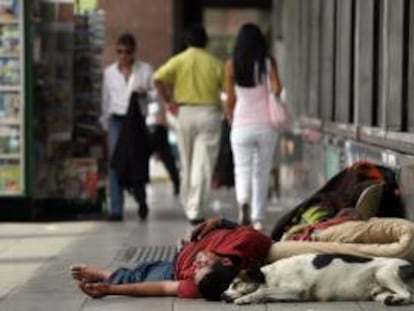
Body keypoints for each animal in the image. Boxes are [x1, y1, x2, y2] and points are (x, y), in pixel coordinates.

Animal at [223, 255, 414, 306]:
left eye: (236, 283)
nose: (221, 295)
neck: (270, 275)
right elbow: (265, 293)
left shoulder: (297, 289)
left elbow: (262, 290)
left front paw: (244, 298)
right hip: (378, 292)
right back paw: (393, 299)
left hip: (385, 273)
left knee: (409, 295)